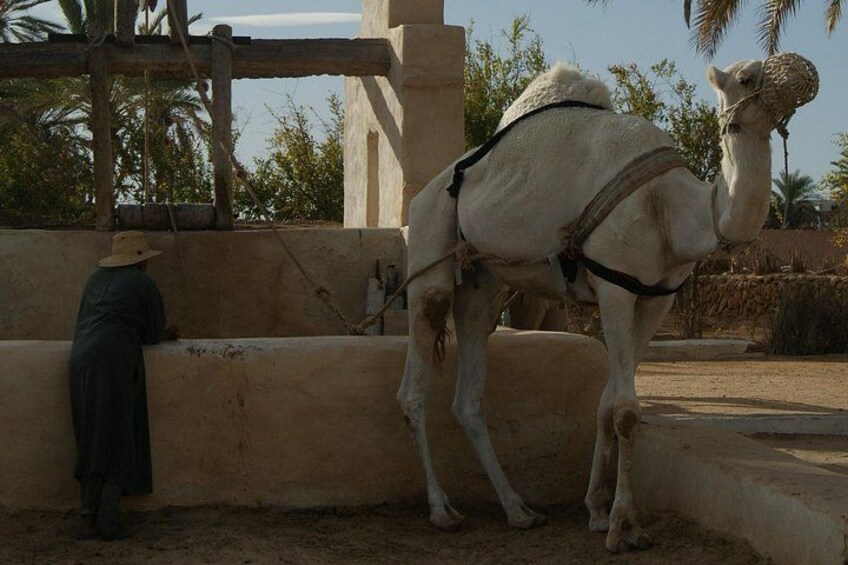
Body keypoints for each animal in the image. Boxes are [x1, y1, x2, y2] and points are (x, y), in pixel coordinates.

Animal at [397, 57, 816, 552]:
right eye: (749, 77)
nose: (802, 75)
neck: (670, 207)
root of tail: (426, 192)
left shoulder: (657, 298)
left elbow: (606, 403)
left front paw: (597, 511)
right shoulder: (616, 286)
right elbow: (626, 411)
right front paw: (622, 527)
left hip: (484, 283)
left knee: (468, 393)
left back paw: (519, 510)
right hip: (430, 240)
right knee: (416, 376)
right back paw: (443, 511)